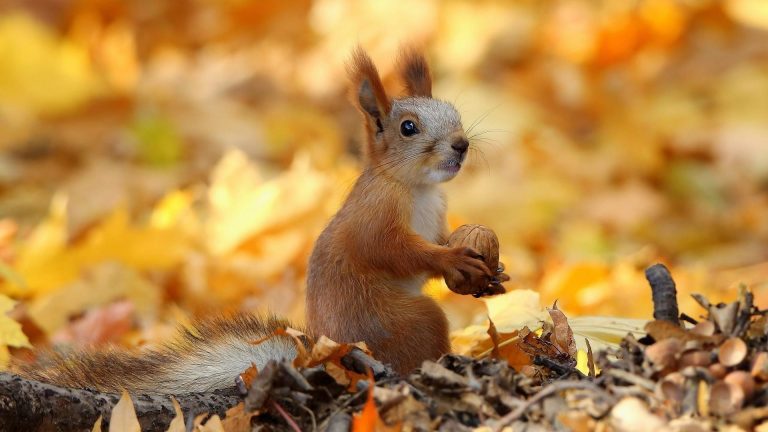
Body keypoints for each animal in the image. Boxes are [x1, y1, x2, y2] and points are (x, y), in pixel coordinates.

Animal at [18, 47, 492, 394]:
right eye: (408, 128)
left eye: (453, 111)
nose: (461, 144)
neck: (417, 189)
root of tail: (324, 356)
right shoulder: (376, 217)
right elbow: (394, 251)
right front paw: (453, 261)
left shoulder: (436, 216)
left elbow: (440, 240)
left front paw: (479, 264)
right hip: (401, 323)